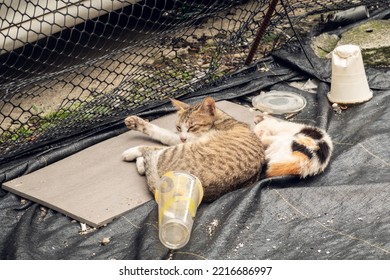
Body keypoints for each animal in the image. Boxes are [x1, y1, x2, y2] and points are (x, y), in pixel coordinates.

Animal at [122, 96, 266, 201]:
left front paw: (133, 153)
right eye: (179, 127)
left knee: (152, 151)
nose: (183, 138)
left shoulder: (188, 141)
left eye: (192, 127)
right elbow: (163, 133)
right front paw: (136, 123)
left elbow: (157, 141)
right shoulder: (180, 138)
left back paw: (137, 159)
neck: (222, 119)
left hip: (177, 151)